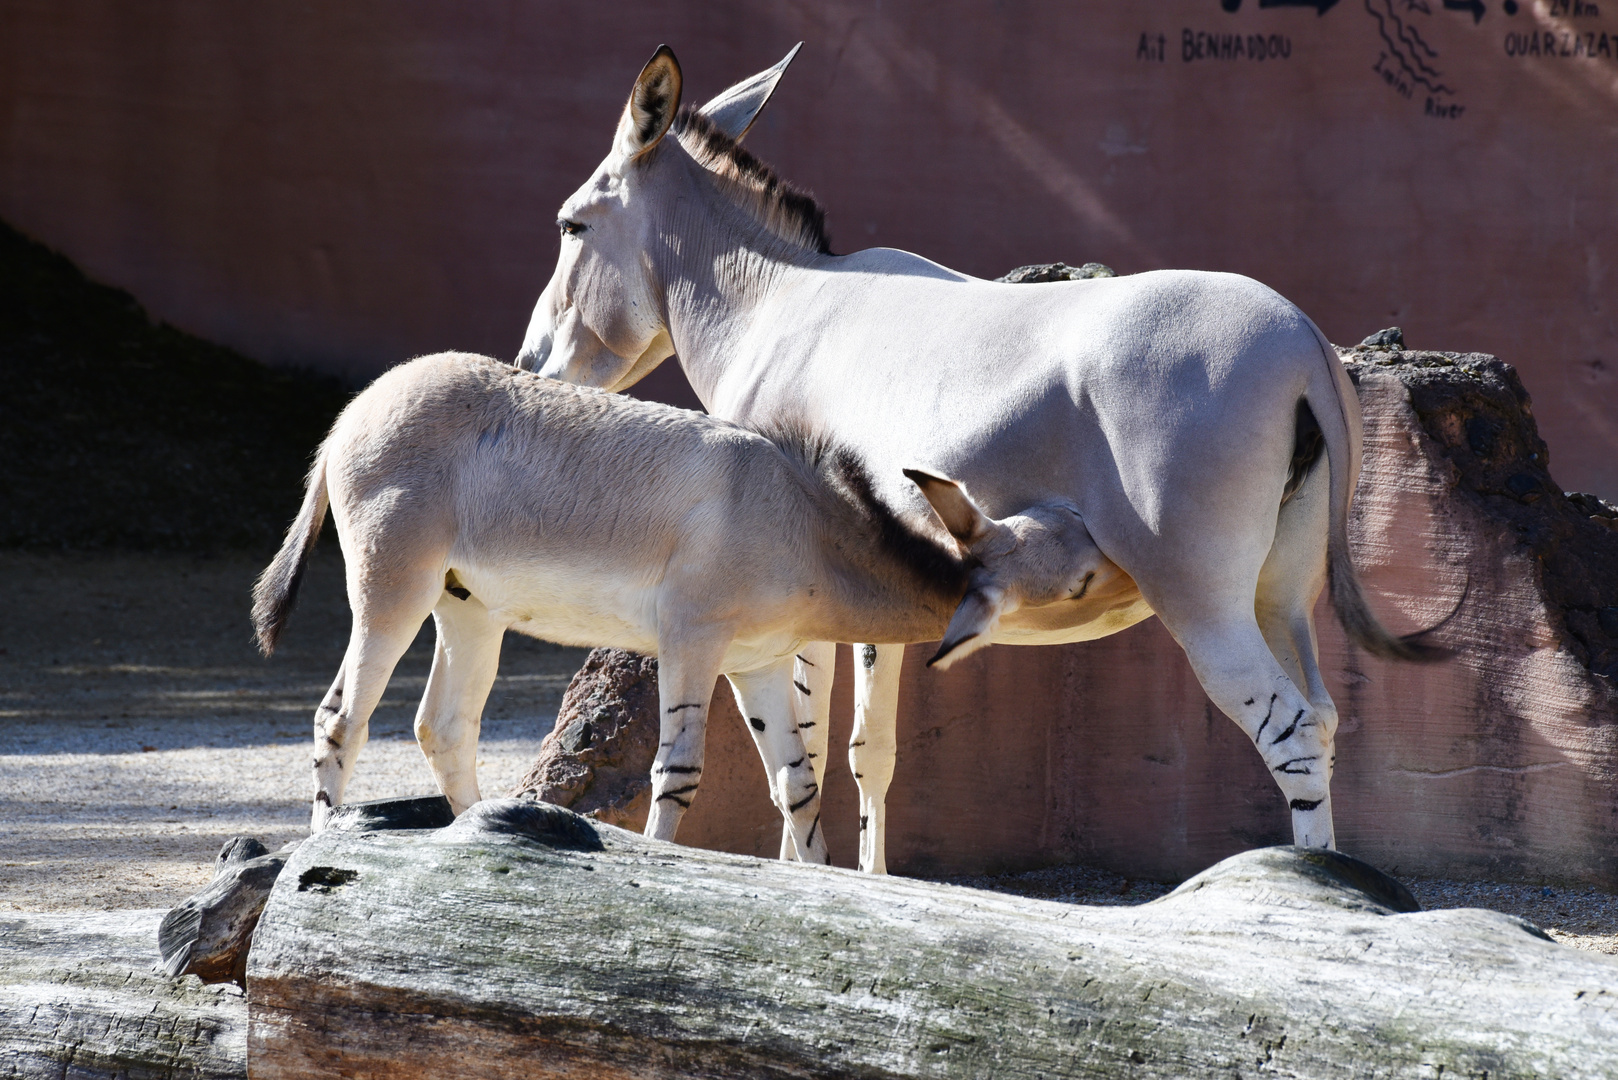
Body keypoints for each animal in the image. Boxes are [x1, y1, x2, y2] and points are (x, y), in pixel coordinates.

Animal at [252, 354, 1119, 861]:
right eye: (1080, 580)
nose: (1137, 566)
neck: (799, 520)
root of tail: (352, 415)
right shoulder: (692, 641)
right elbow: (678, 773)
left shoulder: (759, 663)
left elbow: (798, 788)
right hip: (392, 590)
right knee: (340, 719)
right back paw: (323, 843)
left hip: (469, 610)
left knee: (444, 726)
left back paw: (475, 835)